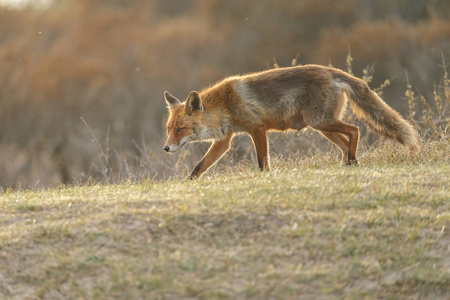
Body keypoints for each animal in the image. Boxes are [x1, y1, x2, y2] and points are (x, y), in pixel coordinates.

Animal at [163, 64, 420, 179]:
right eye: (168, 129)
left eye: (180, 129)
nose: (166, 148)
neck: (225, 105)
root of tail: (331, 71)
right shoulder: (224, 141)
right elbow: (199, 167)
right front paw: (187, 184)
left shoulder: (257, 129)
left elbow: (262, 163)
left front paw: (264, 179)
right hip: (323, 127)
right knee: (346, 142)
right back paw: (350, 163)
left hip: (321, 122)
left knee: (355, 130)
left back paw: (353, 161)